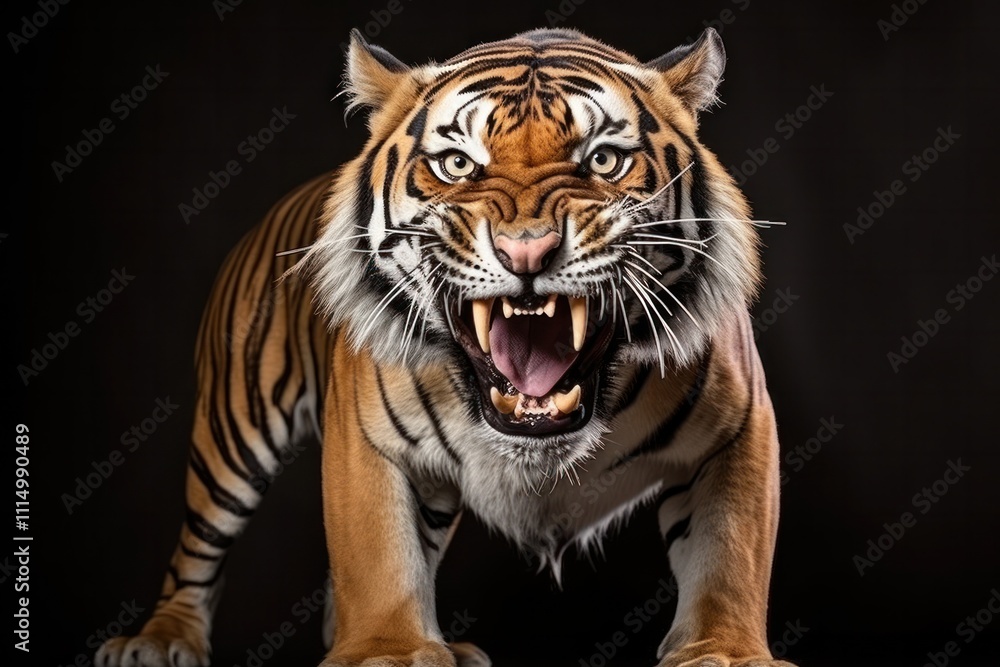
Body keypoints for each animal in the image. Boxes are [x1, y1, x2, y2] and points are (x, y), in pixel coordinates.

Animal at [97, 26, 795, 667]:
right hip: (234, 431)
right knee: (198, 545)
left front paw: (726, 651)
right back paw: (158, 641)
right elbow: (378, 556)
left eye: (603, 160)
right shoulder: (364, 440)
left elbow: (729, 554)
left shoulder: (742, 428)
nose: (527, 251)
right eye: (457, 163)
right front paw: (388, 651)